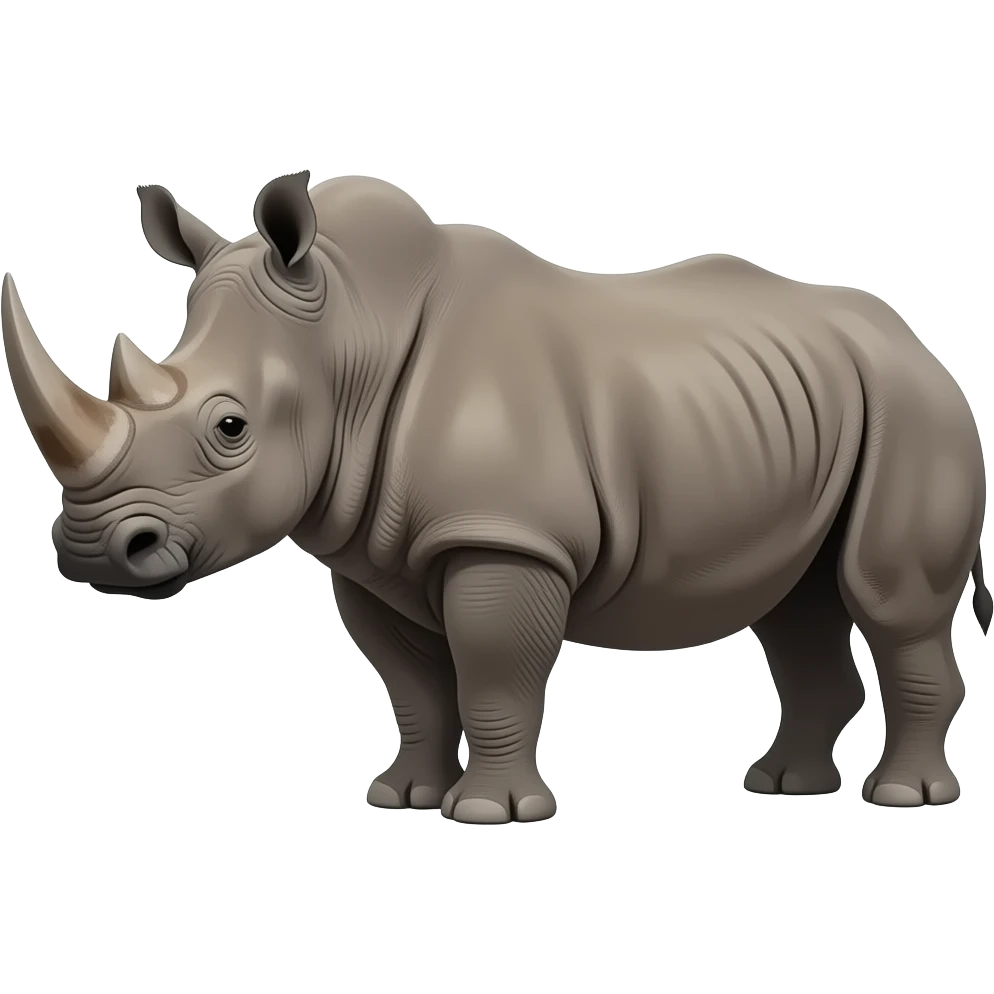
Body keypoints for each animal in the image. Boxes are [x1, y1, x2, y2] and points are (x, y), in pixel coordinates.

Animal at [2, 170, 989, 821]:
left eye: (231, 427)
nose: (90, 552)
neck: (348, 332)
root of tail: (924, 346)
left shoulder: (503, 536)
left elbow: (490, 667)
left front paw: (489, 813)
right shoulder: (370, 552)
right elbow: (411, 684)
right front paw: (402, 797)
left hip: (916, 409)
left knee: (887, 599)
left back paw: (903, 798)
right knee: (796, 603)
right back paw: (784, 789)